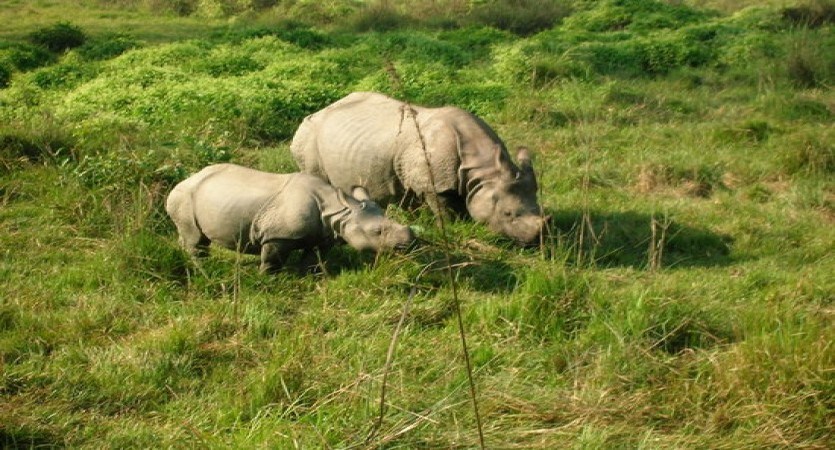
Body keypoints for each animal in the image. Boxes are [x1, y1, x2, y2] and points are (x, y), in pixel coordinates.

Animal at [165, 163, 415, 273]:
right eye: (377, 232)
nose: (411, 242)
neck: (339, 211)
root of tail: (183, 180)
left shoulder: (323, 234)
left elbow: (314, 256)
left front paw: (308, 274)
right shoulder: (278, 235)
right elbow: (272, 260)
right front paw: (267, 278)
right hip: (184, 197)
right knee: (195, 239)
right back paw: (203, 269)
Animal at [290, 92, 547, 245]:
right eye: (508, 214)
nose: (538, 239)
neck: (482, 172)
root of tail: (312, 114)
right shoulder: (434, 184)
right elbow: (445, 210)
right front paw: (453, 227)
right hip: (307, 139)